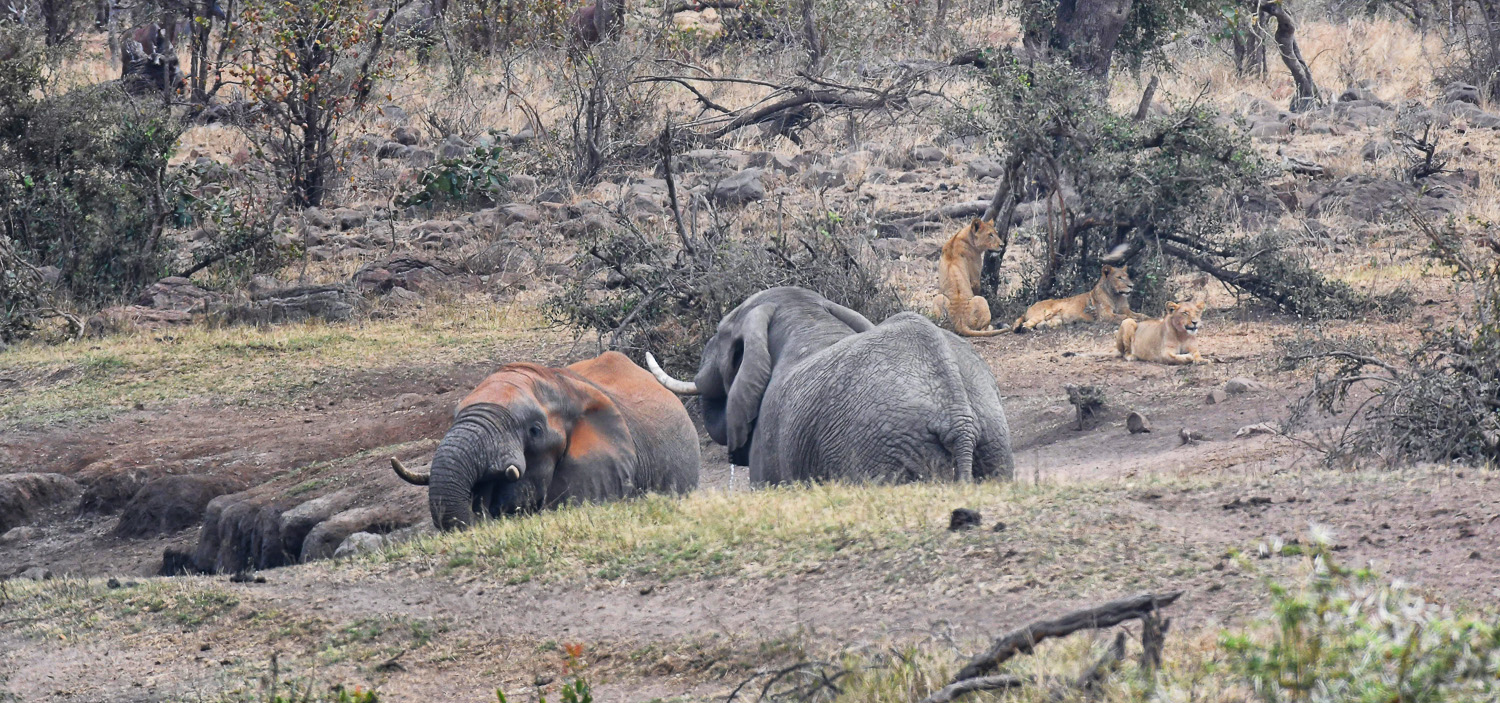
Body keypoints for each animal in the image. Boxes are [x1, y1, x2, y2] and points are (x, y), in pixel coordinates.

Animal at [1012, 265, 1144, 333]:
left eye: (1127, 276)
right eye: (1119, 278)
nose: (1131, 286)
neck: (1116, 296)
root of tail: (1028, 308)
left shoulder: (1124, 309)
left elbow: (1138, 314)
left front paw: (1144, 317)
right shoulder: (1104, 315)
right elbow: (1122, 317)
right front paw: (1133, 320)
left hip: (1056, 319)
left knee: (1042, 324)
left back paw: (1046, 327)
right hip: (1044, 313)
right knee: (1026, 323)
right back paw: (1026, 329)